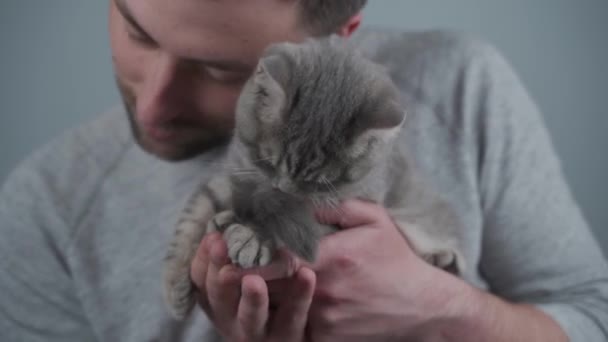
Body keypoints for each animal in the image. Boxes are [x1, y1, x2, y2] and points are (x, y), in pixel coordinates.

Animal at [164, 36, 464, 320]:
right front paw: (175, 281)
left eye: (317, 183)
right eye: (268, 162)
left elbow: (292, 223)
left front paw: (255, 236)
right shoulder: (233, 172)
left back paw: (441, 258)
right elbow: (193, 215)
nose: (282, 190)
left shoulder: (345, 213)